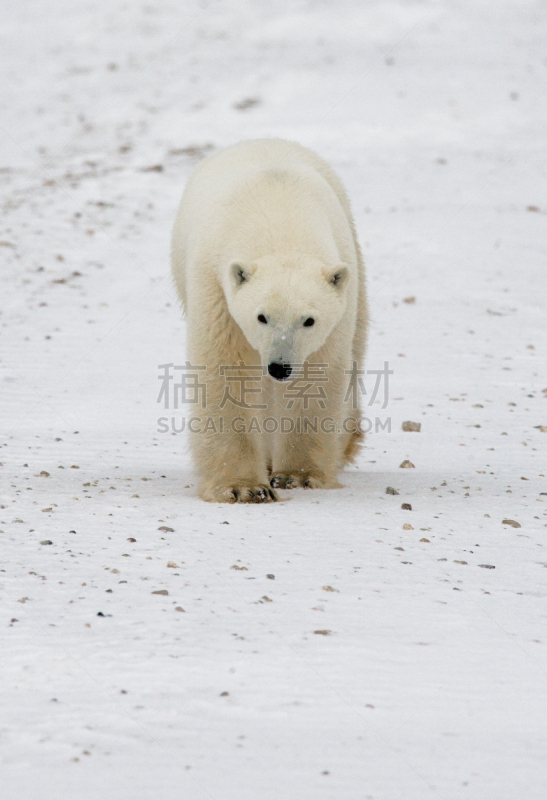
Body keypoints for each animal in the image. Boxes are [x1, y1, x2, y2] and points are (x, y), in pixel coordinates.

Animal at [171, 138, 368, 500]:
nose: (280, 367)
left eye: (309, 320)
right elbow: (226, 370)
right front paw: (243, 487)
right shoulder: (215, 285)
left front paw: (298, 475)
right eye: (261, 316)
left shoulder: (337, 293)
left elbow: (316, 376)